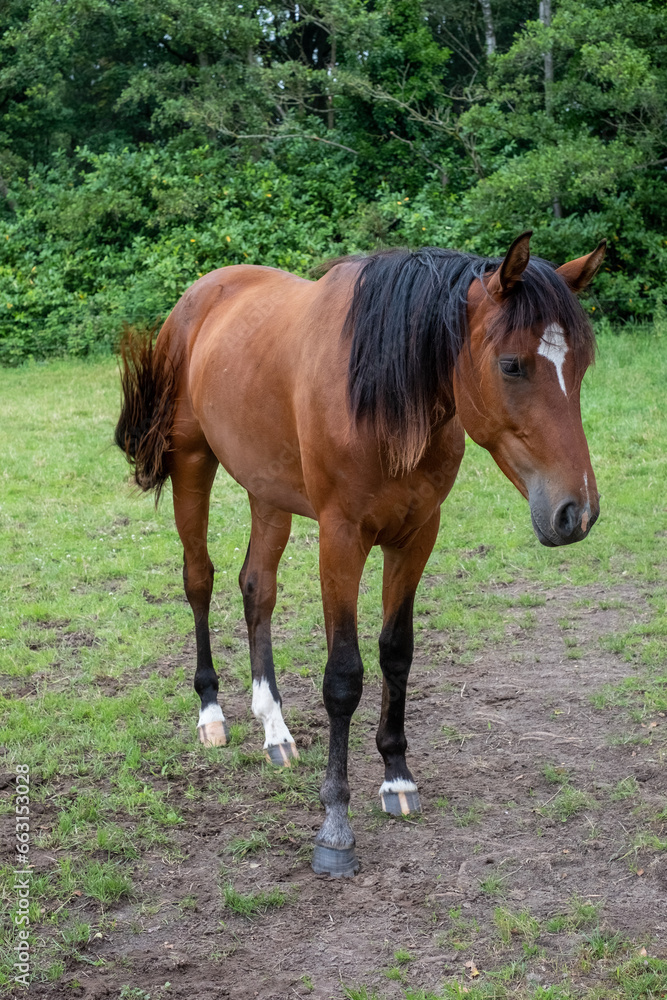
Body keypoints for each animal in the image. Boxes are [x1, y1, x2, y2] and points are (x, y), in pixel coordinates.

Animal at [115, 231, 606, 877]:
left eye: (581, 366)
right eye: (511, 365)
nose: (577, 513)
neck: (384, 393)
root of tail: (199, 295)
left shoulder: (417, 534)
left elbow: (397, 653)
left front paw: (396, 776)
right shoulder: (340, 537)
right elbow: (344, 676)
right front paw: (335, 826)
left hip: (267, 490)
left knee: (257, 589)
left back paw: (274, 726)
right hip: (192, 465)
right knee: (200, 581)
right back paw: (212, 714)